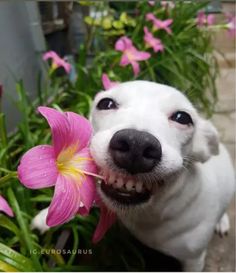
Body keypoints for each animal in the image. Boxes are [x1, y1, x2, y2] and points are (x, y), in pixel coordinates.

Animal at [32, 80, 234, 270]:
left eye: (183, 117)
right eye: (105, 103)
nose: (136, 144)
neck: (144, 214)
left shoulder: (194, 260)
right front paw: (46, 217)